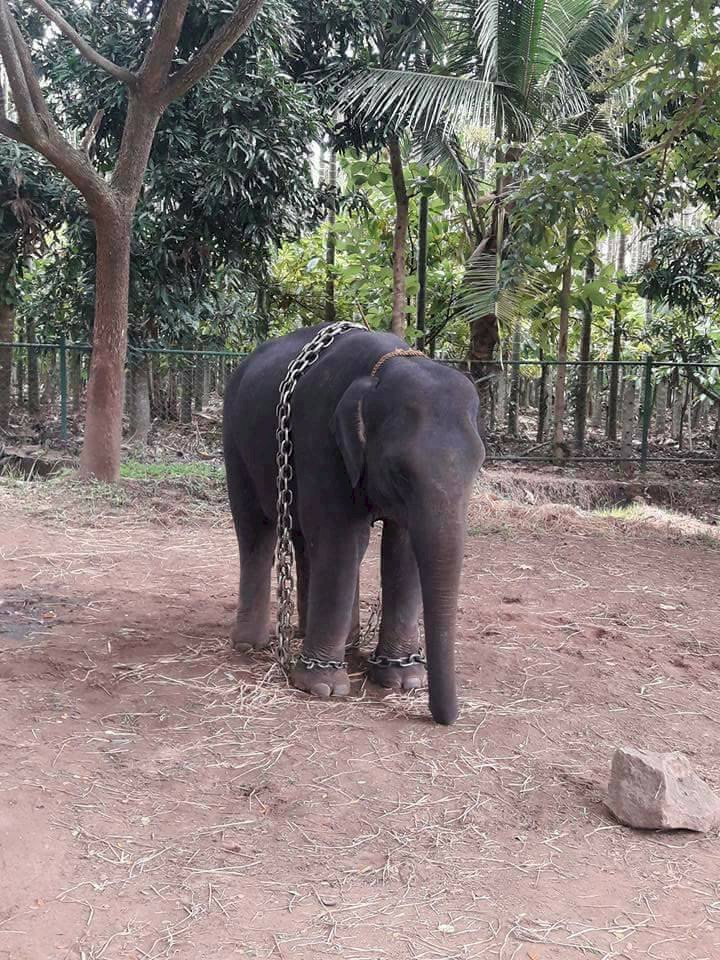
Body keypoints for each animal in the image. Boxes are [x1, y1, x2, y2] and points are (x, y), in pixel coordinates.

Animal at [222, 323, 485, 725]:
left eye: (479, 465)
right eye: (400, 472)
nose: (445, 718)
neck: (384, 367)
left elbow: (401, 549)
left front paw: (403, 679)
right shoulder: (320, 438)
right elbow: (342, 538)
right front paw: (322, 688)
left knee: (303, 538)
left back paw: (332, 639)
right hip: (234, 441)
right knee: (255, 528)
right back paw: (251, 644)